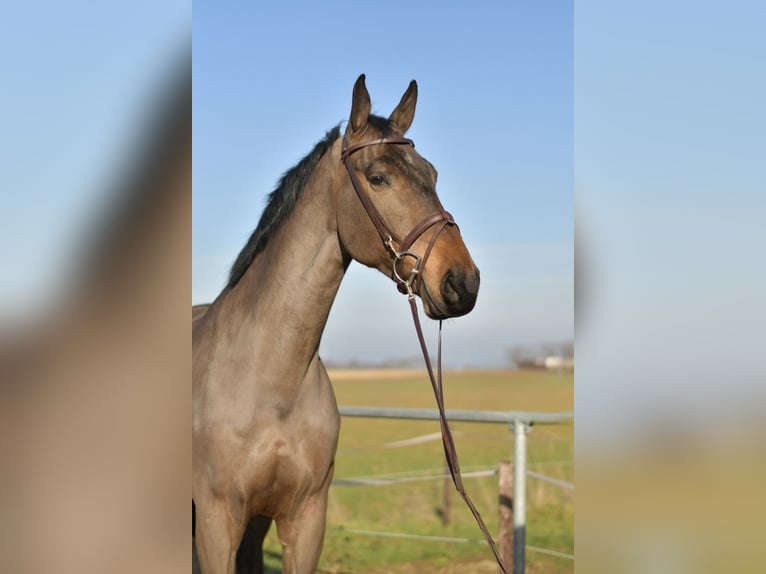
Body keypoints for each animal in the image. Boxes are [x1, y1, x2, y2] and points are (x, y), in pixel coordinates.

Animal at [192, 74, 480, 574]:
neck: (271, 384)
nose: (463, 281)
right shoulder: (216, 523)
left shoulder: (303, 520)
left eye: (433, 174)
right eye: (378, 177)